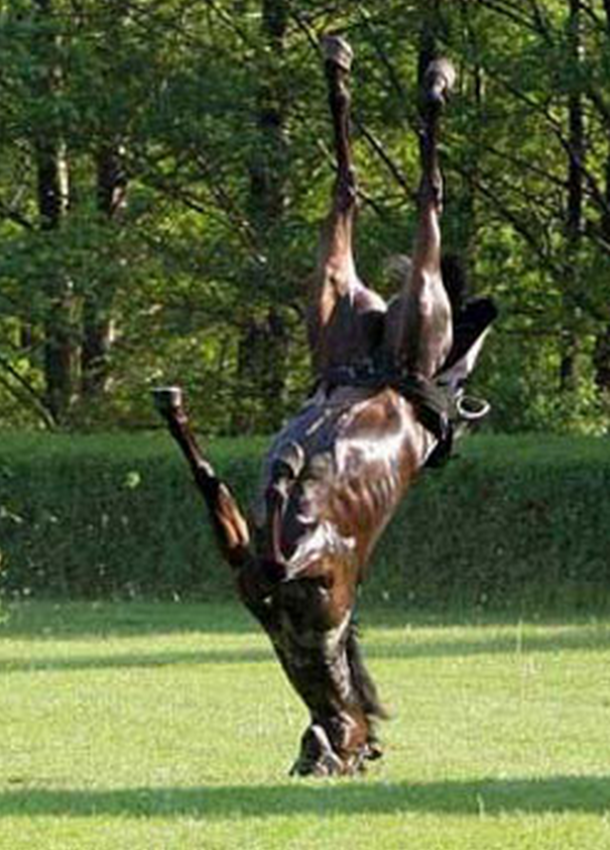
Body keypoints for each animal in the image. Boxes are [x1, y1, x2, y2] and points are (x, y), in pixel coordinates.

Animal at [152, 34, 494, 776]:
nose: (326, 750)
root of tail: (375, 363)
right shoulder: (255, 565)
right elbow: (219, 490)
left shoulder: (279, 565)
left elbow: (230, 500)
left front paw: (276, 471)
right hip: (362, 309)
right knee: (364, 192)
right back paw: (378, 72)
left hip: (387, 315)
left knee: (399, 194)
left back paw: (404, 76)